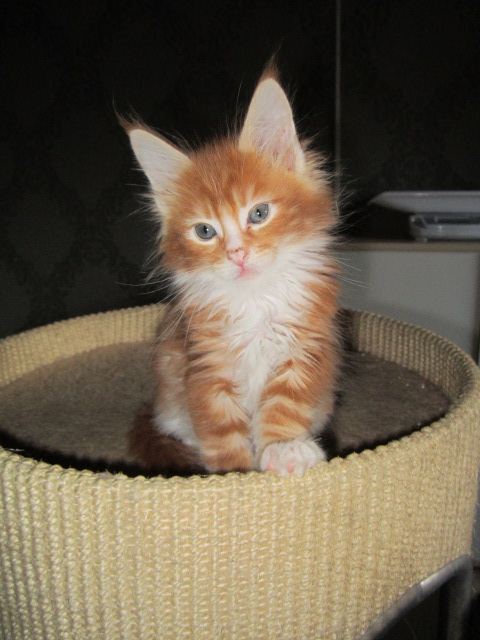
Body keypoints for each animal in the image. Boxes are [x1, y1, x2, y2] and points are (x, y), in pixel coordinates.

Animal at [125, 71, 340, 480]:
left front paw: (284, 449)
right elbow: (221, 432)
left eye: (259, 213)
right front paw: (234, 476)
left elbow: (284, 406)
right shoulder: (206, 366)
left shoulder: (303, 349)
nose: (237, 254)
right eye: (204, 231)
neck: (254, 299)